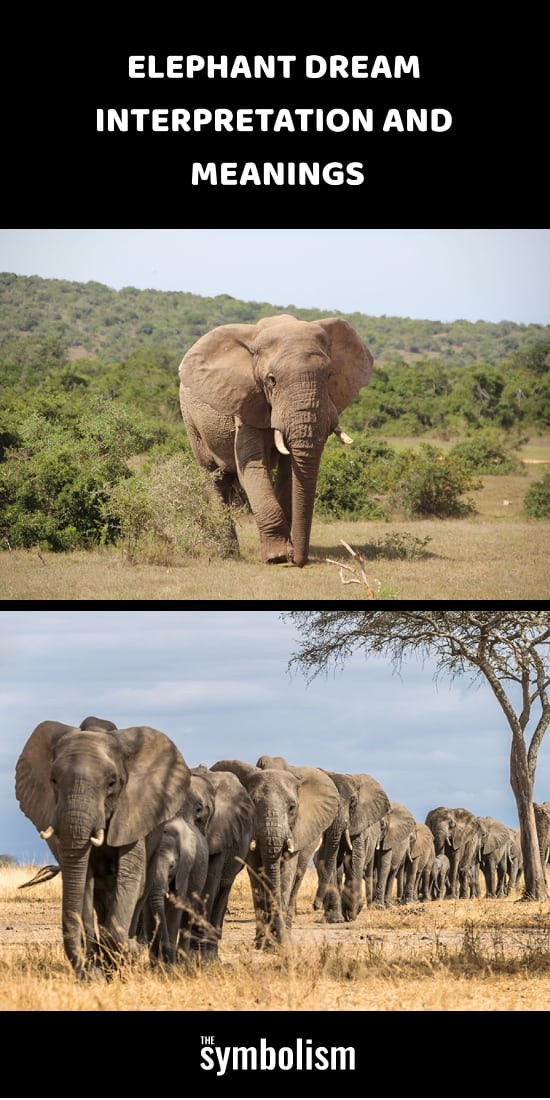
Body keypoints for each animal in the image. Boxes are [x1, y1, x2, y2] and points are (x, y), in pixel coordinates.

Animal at [13, 721, 190, 981]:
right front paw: (95, 974)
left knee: (140, 891)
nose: (84, 972)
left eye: (112, 783)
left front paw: (127, 953)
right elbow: (83, 880)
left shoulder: (132, 813)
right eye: (53, 780)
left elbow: (129, 877)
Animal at [178, 312, 371, 563]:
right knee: (215, 478)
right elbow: (251, 466)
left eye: (329, 375)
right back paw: (226, 553)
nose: (299, 561)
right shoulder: (246, 400)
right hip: (191, 421)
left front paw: (282, 552)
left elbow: (289, 472)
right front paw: (277, 556)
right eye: (271, 380)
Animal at [211, 756, 336, 946]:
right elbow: (256, 874)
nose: (278, 942)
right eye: (251, 804)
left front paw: (278, 942)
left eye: (292, 807)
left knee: (297, 876)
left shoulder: (297, 830)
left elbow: (287, 873)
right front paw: (262, 942)